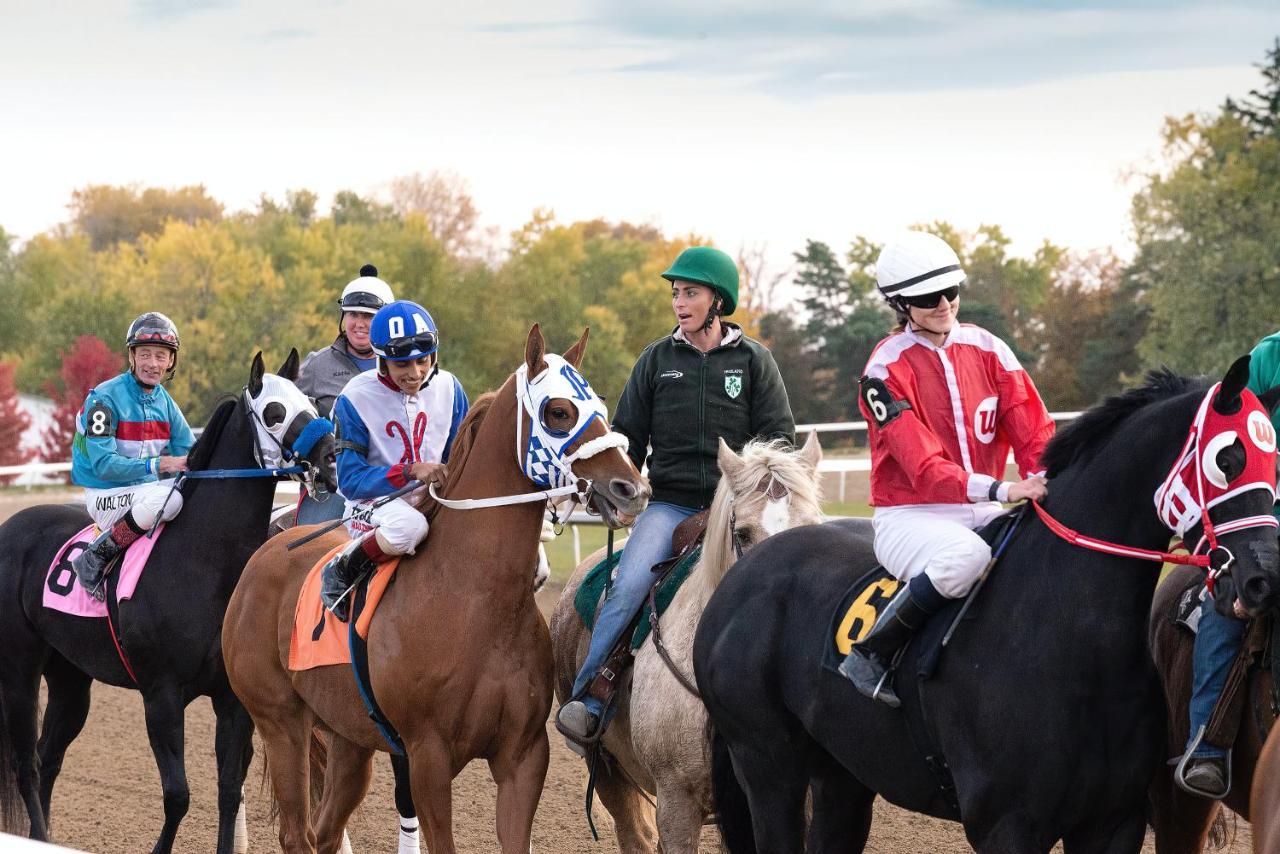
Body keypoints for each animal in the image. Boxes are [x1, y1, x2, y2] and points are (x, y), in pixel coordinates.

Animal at [0, 350, 337, 850]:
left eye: (313, 405)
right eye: (275, 412)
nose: (332, 460)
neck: (206, 560)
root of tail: (11, 527)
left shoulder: (233, 700)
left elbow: (228, 792)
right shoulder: (161, 693)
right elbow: (178, 795)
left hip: (71, 677)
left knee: (49, 756)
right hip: (19, 671)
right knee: (28, 764)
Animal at [218, 323, 650, 850]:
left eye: (600, 408)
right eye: (559, 412)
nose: (632, 490)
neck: (473, 600)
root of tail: (265, 554)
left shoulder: (524, 756)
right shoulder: (427, 755)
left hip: (349, 739)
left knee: (325, 831)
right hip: (281, 722)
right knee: (297, 834)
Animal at [696, 358, 1280, 850]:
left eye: (1275, 464)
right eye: (1228, 458)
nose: (1264, 578)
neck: (1074, 642)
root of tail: (746, 569)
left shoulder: (1114, 822)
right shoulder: (1008, 825)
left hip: (842, 774)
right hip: (768, 767)